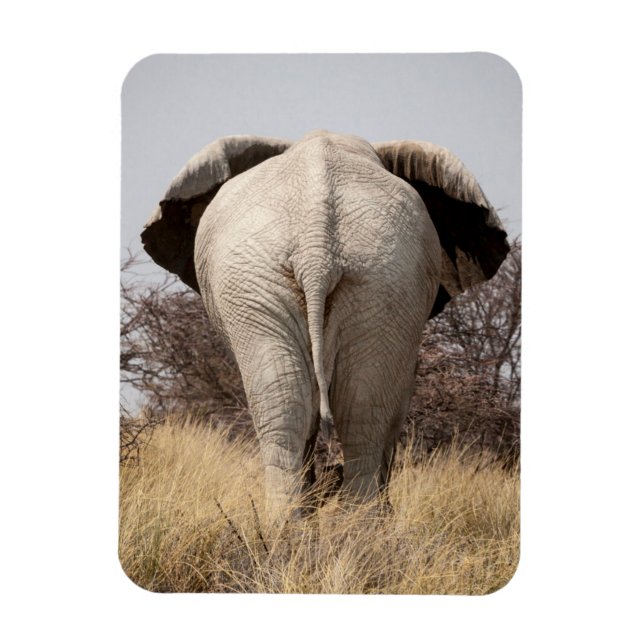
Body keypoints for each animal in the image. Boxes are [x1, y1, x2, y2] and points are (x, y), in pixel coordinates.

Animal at [141, 130, 509, 518]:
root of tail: (317, 245)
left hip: (368, 279)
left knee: (325, 406)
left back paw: (313, 525)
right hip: (290, 280)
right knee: (341, 408)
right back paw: (338, 524)